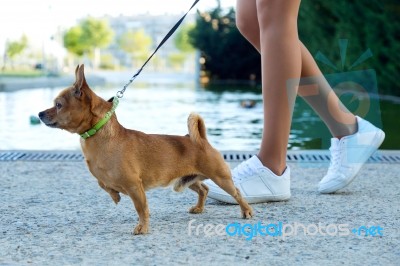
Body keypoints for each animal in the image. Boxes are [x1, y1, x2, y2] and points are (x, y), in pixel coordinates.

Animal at [39, 65, 253, 235]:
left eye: (58, 105)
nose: (40, 113)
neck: (98, 134)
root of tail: (200, 139)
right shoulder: (106, 178)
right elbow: (103, 184)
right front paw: (115, 195)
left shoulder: (135, 186)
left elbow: (141, 209)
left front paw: (142, 228)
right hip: (186, 179)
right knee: (204, 188)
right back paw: (199, 208)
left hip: (220, 177)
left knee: (236, 192)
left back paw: (246, 211)